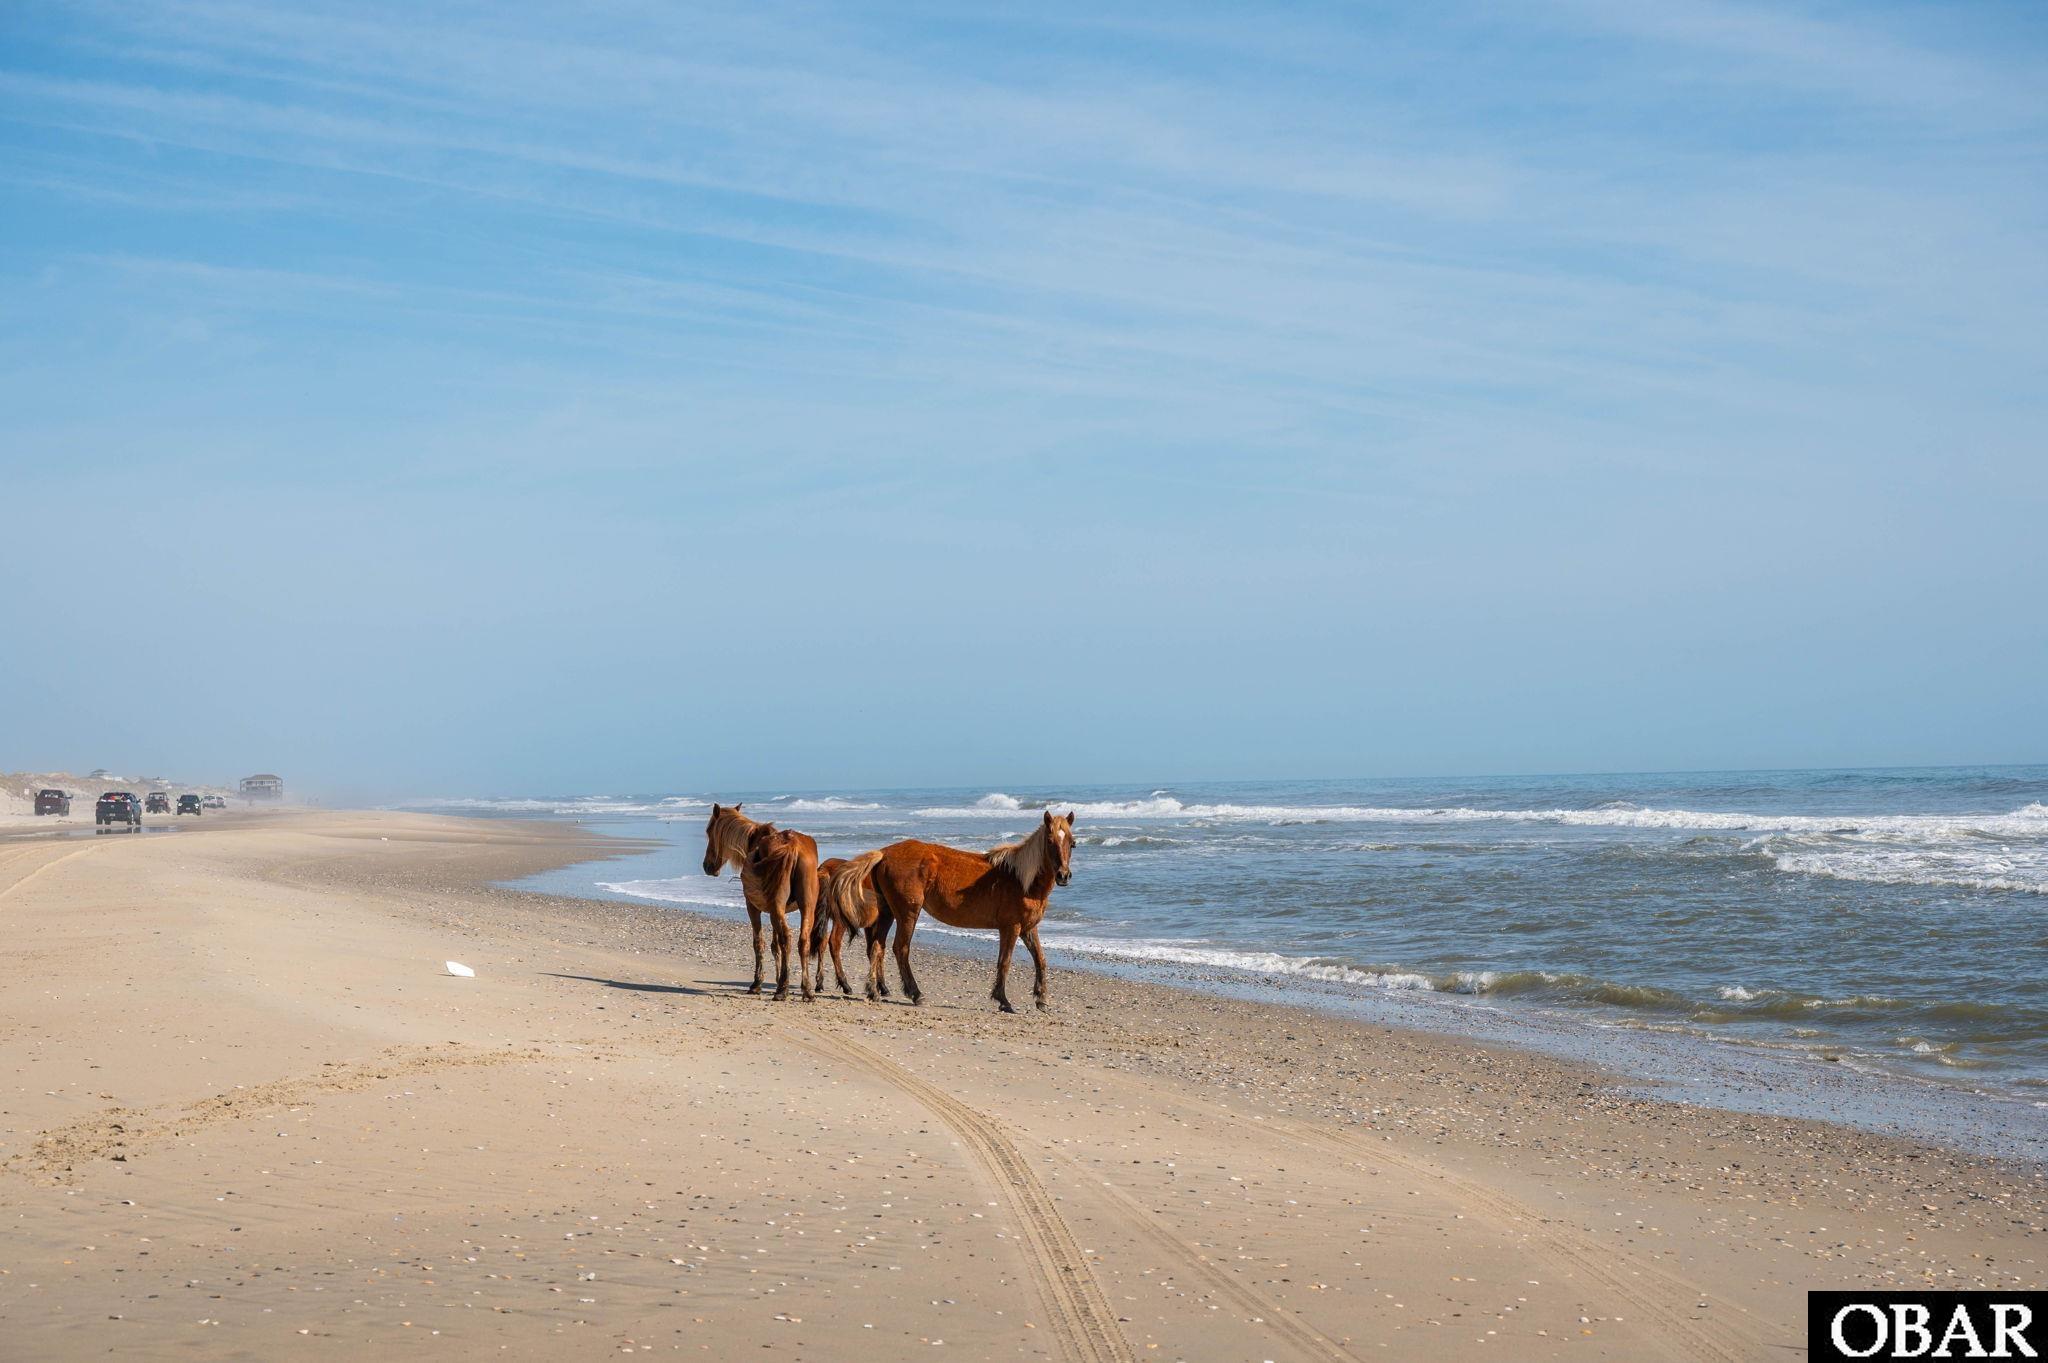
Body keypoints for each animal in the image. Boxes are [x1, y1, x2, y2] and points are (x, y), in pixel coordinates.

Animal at [702, 803, 820, 1001]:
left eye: (709, 831)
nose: (707, 866)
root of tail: (792, 846)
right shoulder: (778, 912)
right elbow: (775, 945)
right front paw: (778, 978)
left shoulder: (754, 907)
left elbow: (760, 943)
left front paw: (757, 983)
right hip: (806, 907)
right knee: (803, 941)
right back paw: (806, 990)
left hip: (777, 907)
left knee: (787, 938)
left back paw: (782, 990)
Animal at [854, 808, 1076, 1013]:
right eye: (1050, 841)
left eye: (1072, 843)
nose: (1063, 875)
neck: (1021, 880)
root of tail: (884, 854)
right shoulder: (1010, 928)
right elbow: (1004, 962)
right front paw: (1003, 1000)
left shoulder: (1028, 928)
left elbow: (1040, 960)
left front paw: (1041, 999)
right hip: (908, 913)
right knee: (900, 948)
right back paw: (915, 994)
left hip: (888, 913)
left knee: (877, 947)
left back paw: (874, 991)